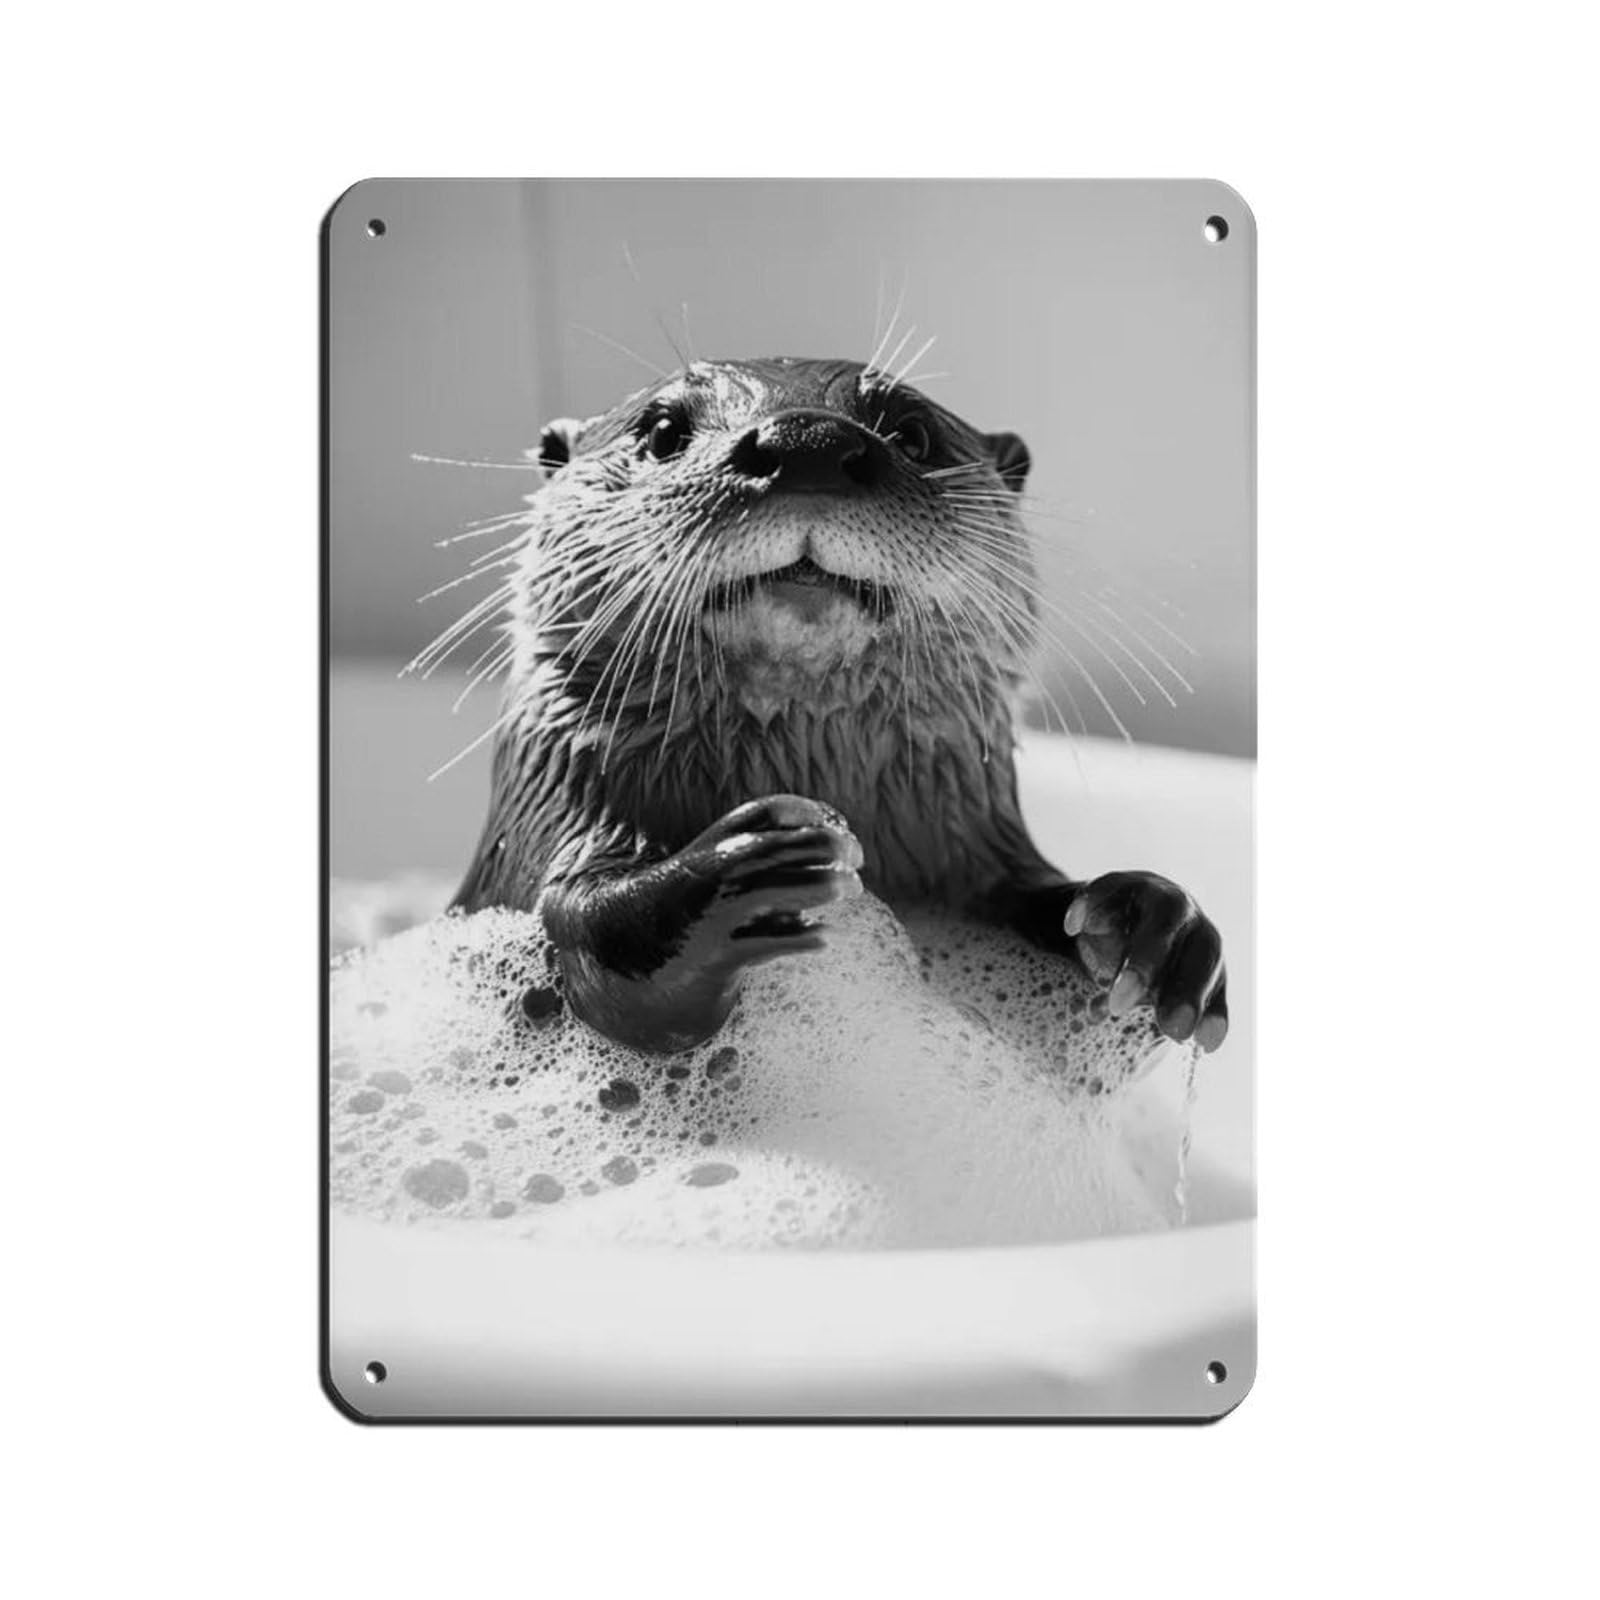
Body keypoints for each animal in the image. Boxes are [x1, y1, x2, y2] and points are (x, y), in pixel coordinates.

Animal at [452, 357, 1227, 1058]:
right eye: (665, 430)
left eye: (912, 433)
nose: (806, 439)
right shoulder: (556, 793)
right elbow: (590, 929)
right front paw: (751, 863)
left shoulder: (977, 844)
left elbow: (1030, 891)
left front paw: (1152, 923)